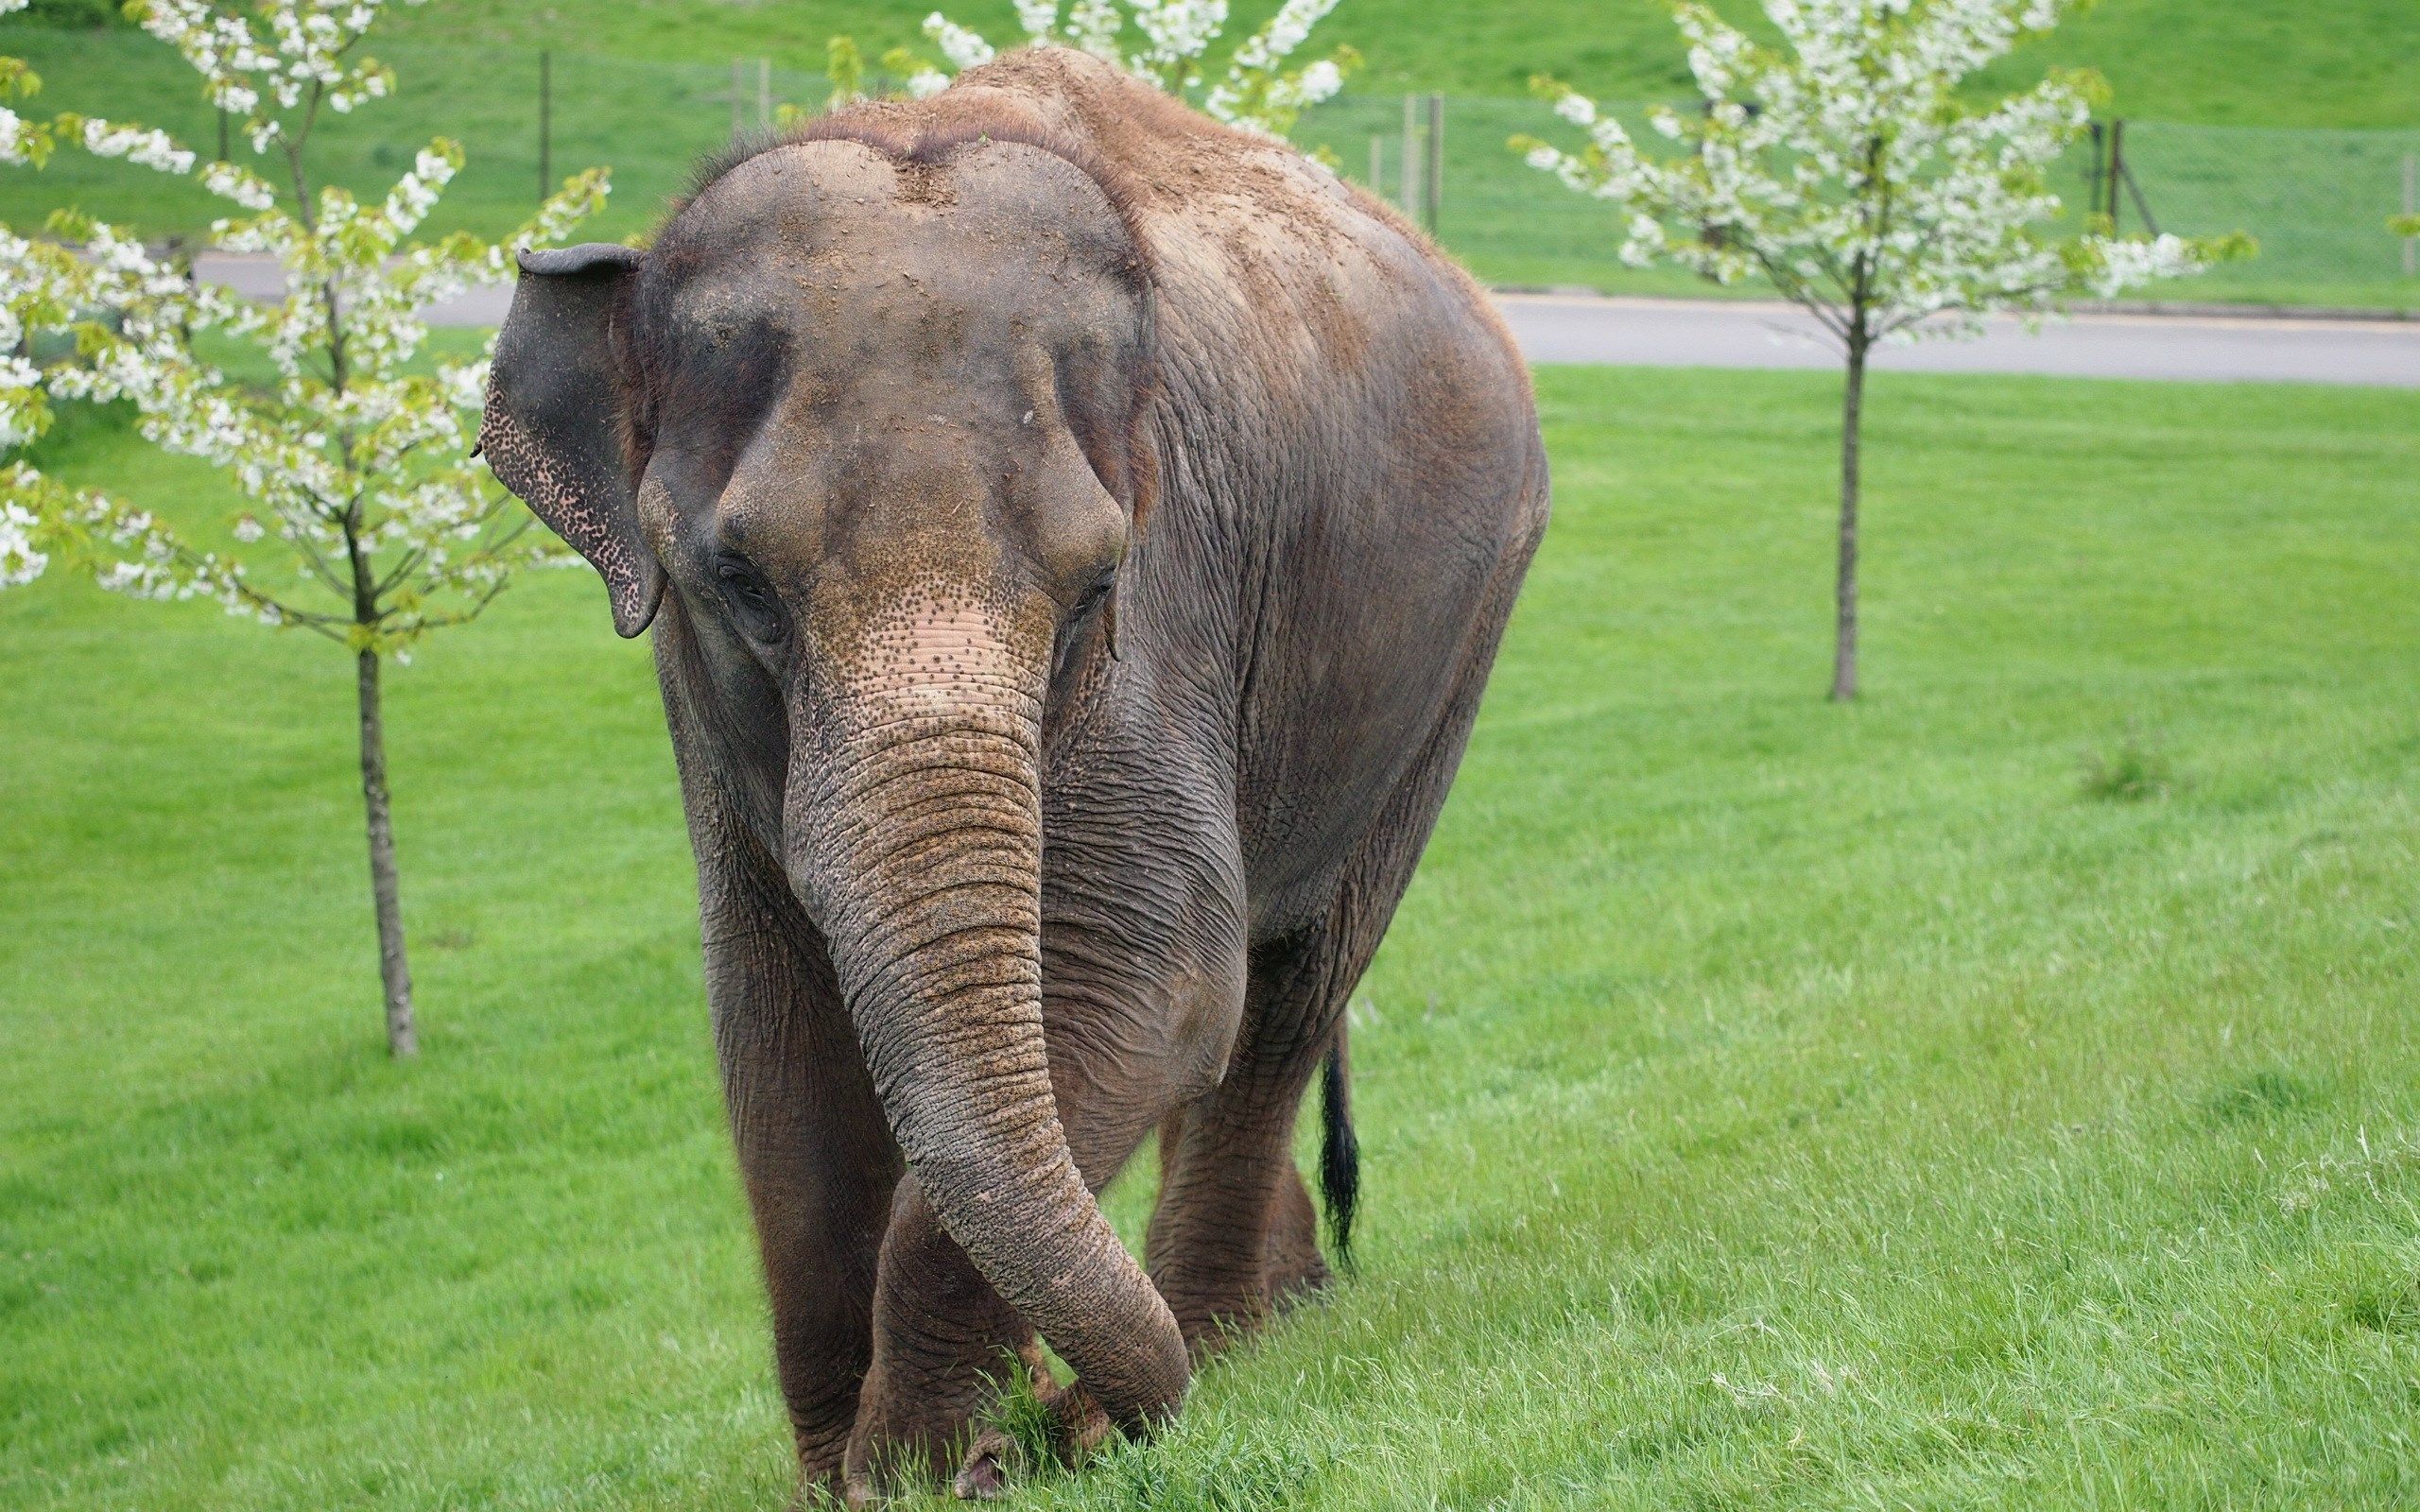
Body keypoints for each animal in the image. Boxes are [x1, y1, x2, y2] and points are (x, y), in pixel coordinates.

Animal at [478, 45, 1547, 1502]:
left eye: (1097, 585)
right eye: (738, 582)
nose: (1046, 1415)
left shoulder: (1174, 605)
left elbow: (1156, 976)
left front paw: (937, 1465)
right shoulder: (697, 706)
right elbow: (771, 1025)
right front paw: (857, 1474)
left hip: (1458, 641)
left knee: (1290, 985)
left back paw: (1220, 1342)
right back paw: (1263, 1322)